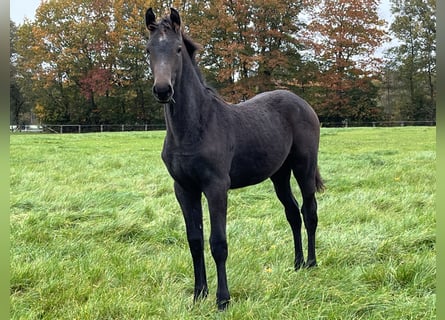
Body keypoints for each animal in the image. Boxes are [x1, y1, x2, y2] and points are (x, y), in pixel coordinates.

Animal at [146, 8, 322, 312]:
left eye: (178, 49)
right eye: (148, 50)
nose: (163, 90)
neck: (194, 128)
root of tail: (302, 102)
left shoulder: (217, 187)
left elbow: (218, 243)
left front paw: (223, 299)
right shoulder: (184, 188)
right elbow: (195, 240)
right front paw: (199, 294)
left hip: (304, 167)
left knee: (309, 211)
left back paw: (311, 263)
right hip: (279, 174)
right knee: (292, 213)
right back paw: (297, 263)